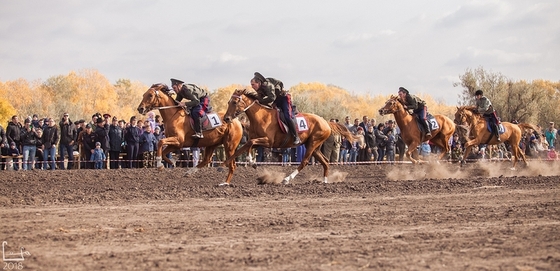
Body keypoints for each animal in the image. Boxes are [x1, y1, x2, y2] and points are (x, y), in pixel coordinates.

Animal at [220, 89, 354, 185]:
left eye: (235, 102)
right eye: (228, 102)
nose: (226, 118)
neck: (260, 117)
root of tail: (326, 122)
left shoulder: (268, 141)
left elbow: (249, 144)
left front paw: (251, 162)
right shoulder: (259, 142)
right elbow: (243, 148)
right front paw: (223, 166)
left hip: (313, 143)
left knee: (304, 161)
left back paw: (287, 179)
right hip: (314, 146)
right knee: (325, 161)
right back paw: (325, 181)